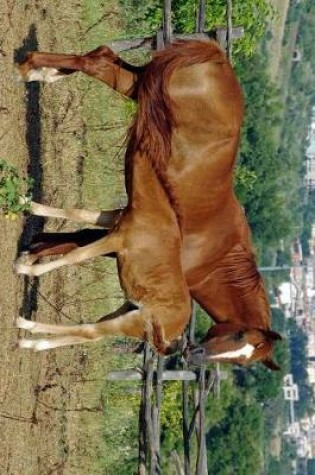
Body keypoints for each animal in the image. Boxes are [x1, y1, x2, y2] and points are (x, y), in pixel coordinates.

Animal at [16, 41, 282, 368]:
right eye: (238, 335)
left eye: (241, 363)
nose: (193, 356)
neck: (214, 259)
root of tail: (217, 56)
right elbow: (77, 243)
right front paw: (32, 252)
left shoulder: (120, 227)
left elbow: (77, 238)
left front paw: (32, 249)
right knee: (97, 63)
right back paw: (28, 69)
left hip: (139, 85)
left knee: (103, 60)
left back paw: (39, 71)